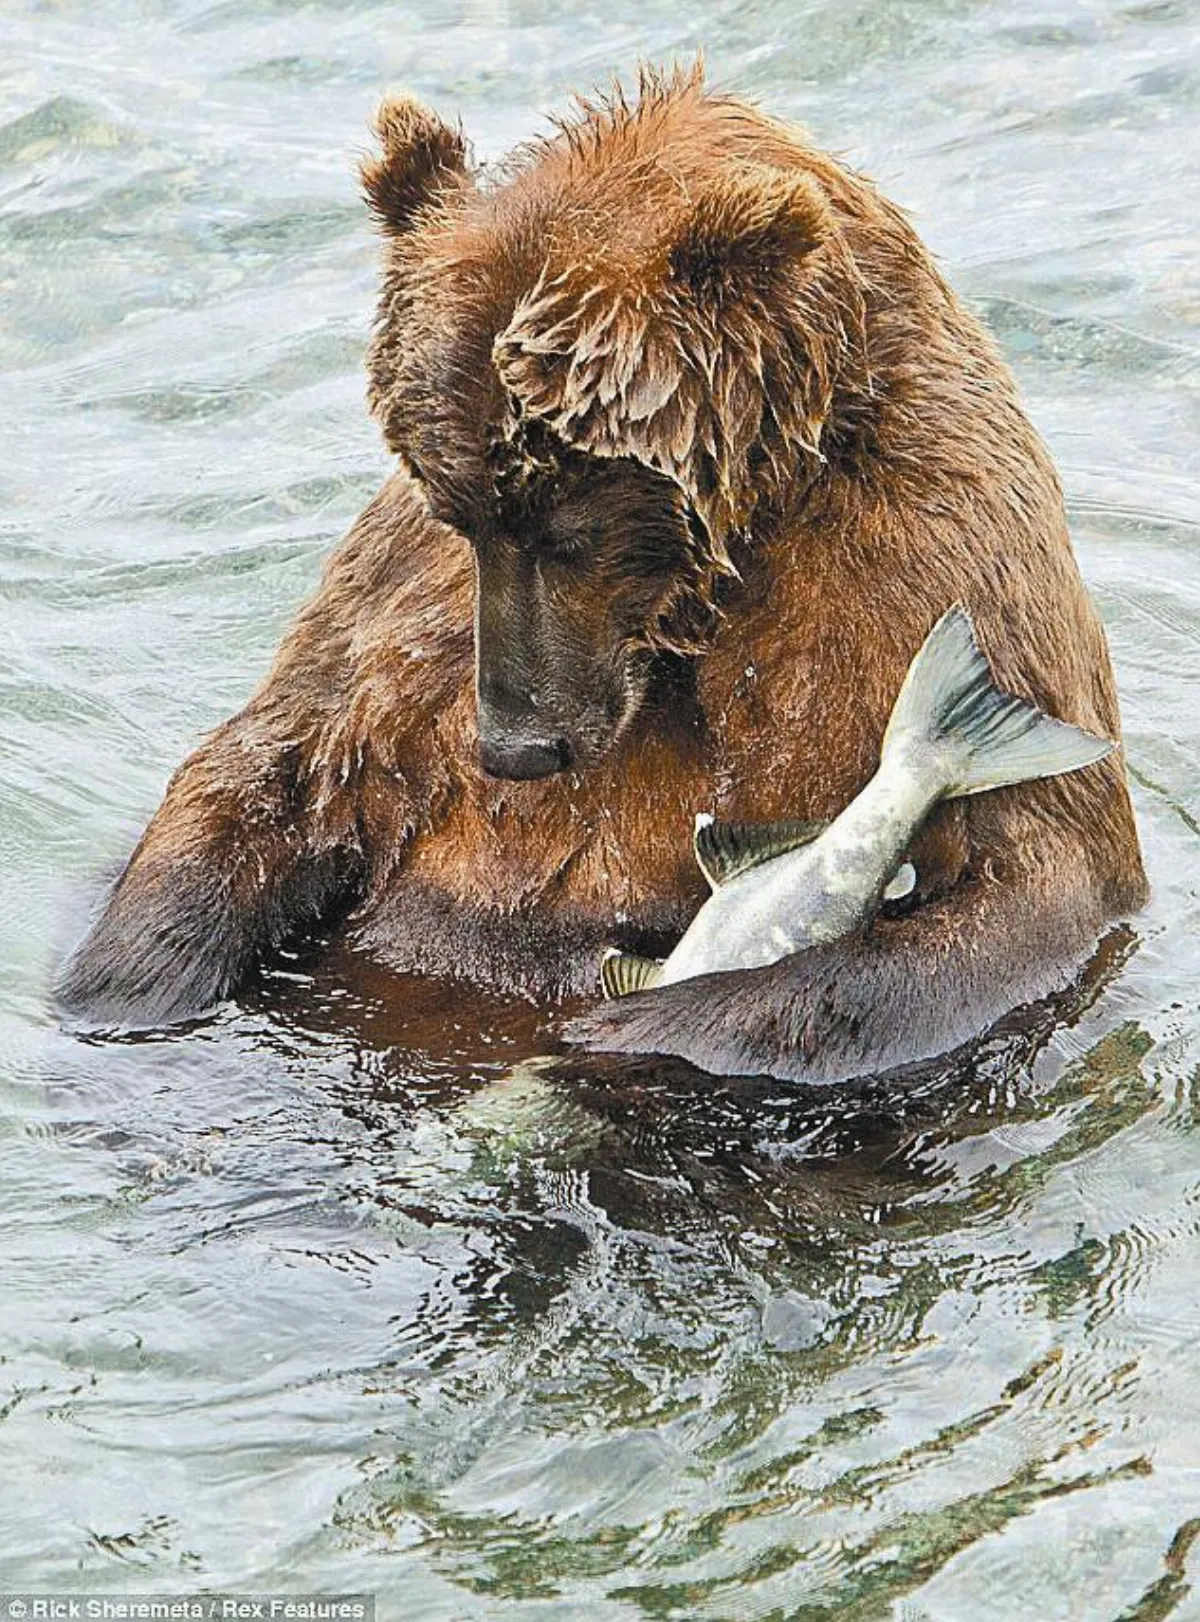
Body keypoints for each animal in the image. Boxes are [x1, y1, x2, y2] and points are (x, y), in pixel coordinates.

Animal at [58, 64, 1148, 1085]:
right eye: (458, 508)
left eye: (571, 524)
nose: (513, 744)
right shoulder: (404, 608)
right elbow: (280, 759)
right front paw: (133, 970)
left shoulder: (920, 567)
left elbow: (1033, 887)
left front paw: (633, 1026)